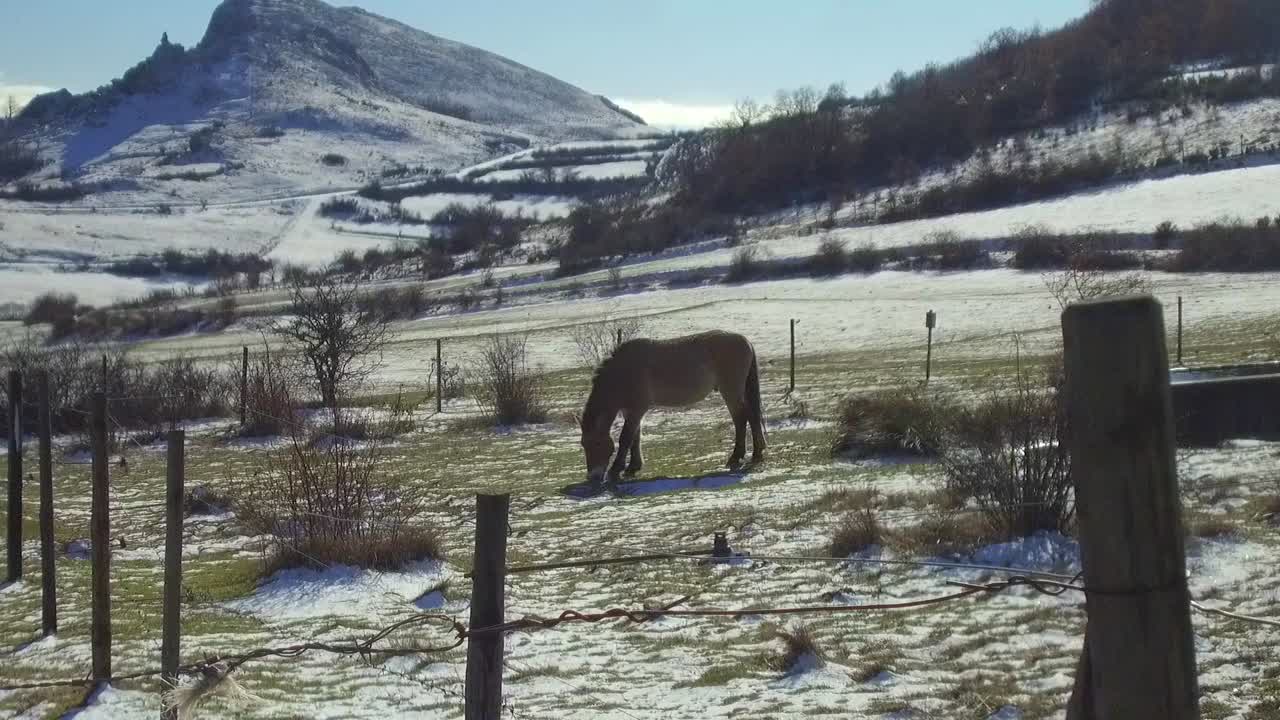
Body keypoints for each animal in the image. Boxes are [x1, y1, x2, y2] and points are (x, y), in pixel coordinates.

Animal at [579, 330, 766, 483]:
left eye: (596, 443)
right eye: (583, 444)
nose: (593, 477)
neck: (623, 371)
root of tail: (745, 341)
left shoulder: (637, 410)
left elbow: (625, 439)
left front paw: (615, 470)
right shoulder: (630, 412)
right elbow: (635, 437)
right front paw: (633, 467)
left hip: (731, 392)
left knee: (743, 418)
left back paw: (741, 457)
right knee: (749, 417)